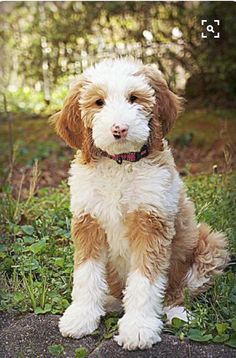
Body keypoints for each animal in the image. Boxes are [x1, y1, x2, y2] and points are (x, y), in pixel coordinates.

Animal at [51, 58, 229, 350]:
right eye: (98, 102)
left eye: (134, 98)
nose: (119, 129)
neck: (120, 163)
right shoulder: (88, 220)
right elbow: (86, 273)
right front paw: (81, 316)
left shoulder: (152, 222)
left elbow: (145, 280)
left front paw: (139, 328)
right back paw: (108, 302)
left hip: (209, 244)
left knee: (178, 289)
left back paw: (177, 313)